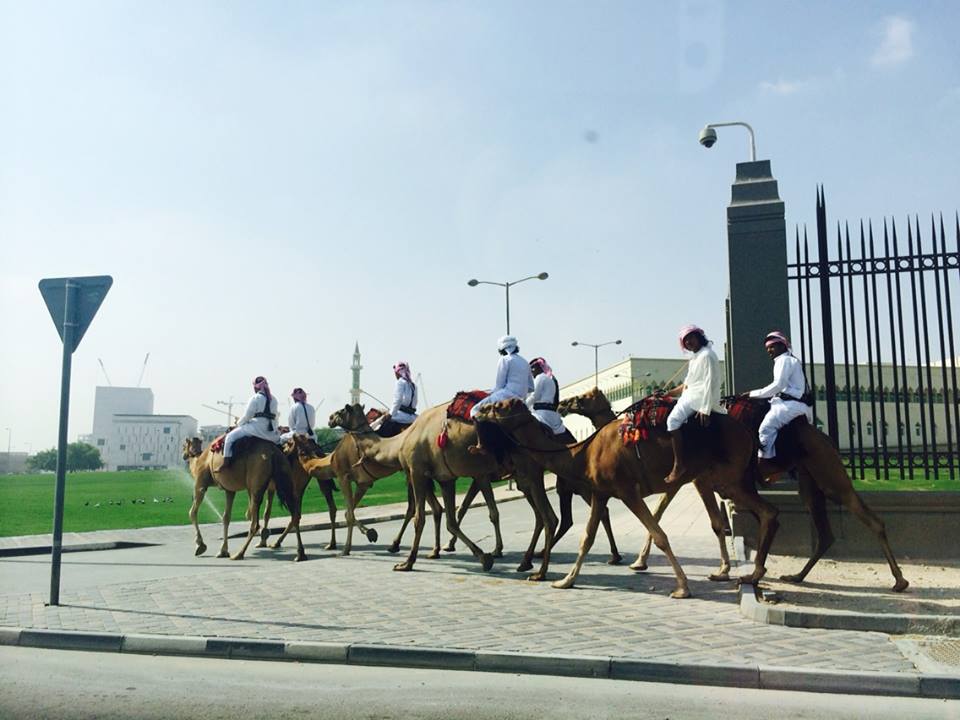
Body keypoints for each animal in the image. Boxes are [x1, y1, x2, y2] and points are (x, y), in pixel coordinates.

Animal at [472, 400, 780, 596]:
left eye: (499, 406)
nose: (477, 413)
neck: (582, 452)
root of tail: (748, 433)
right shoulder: (600, 492)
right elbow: (587, 538)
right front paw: (565, 581)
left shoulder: (627, 491)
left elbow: (659, 535)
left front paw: (682, 588)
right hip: (718, 479)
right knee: (760, 512)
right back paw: (750, 574)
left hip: (726, 478)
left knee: (767, 511)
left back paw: (752, 573)